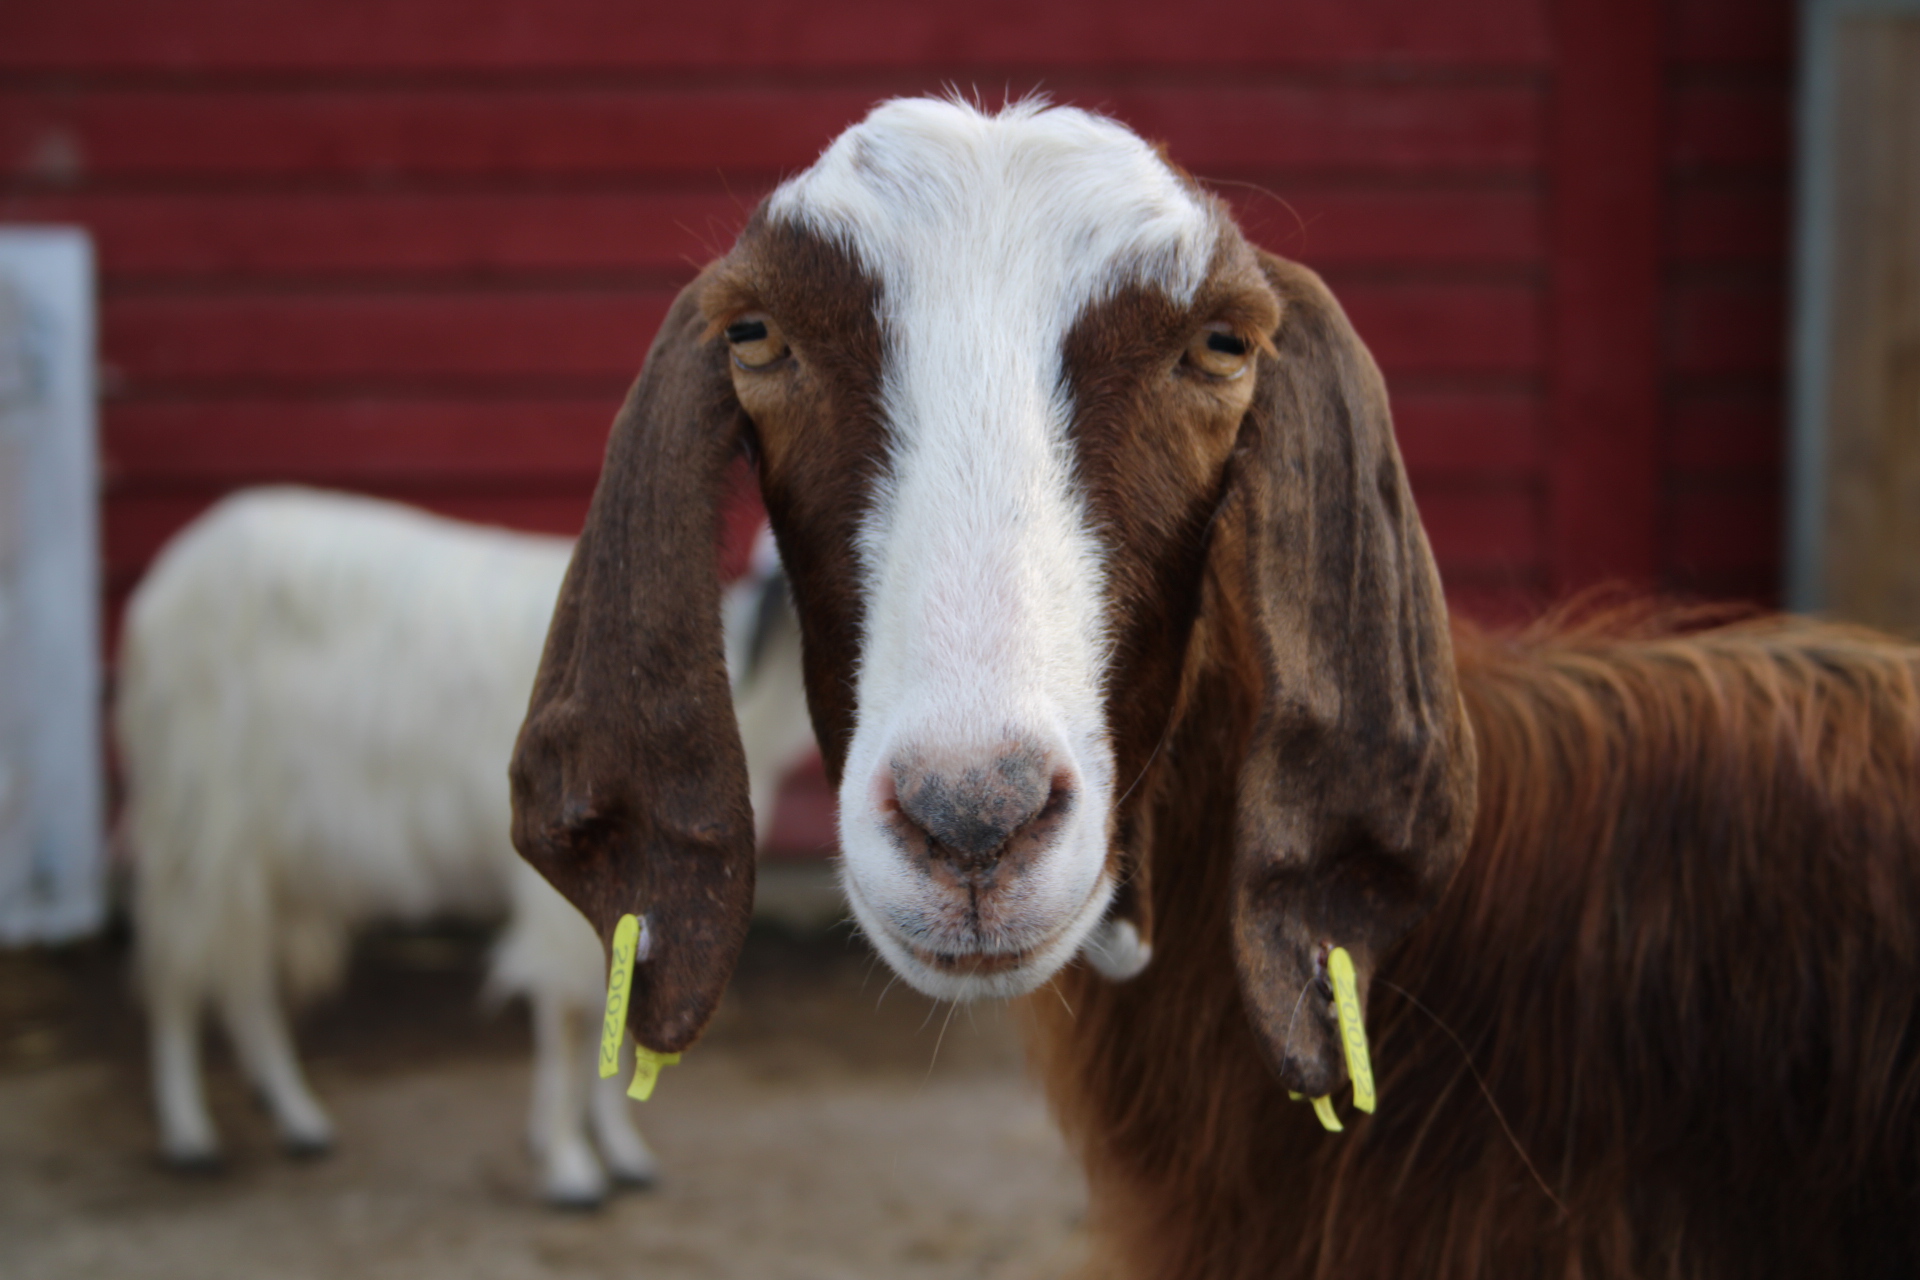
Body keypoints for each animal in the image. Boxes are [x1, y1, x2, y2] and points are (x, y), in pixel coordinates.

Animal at [120, 485, 810, 1205]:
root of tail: (169, 579)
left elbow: (618, 1014)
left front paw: (620, 1153)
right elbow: (570, 1017)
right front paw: (569, 1168)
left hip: (267, 844)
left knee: (241, 972)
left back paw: (296, 1118)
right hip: (194, 809)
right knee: (177, 965)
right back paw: (190, 1133)